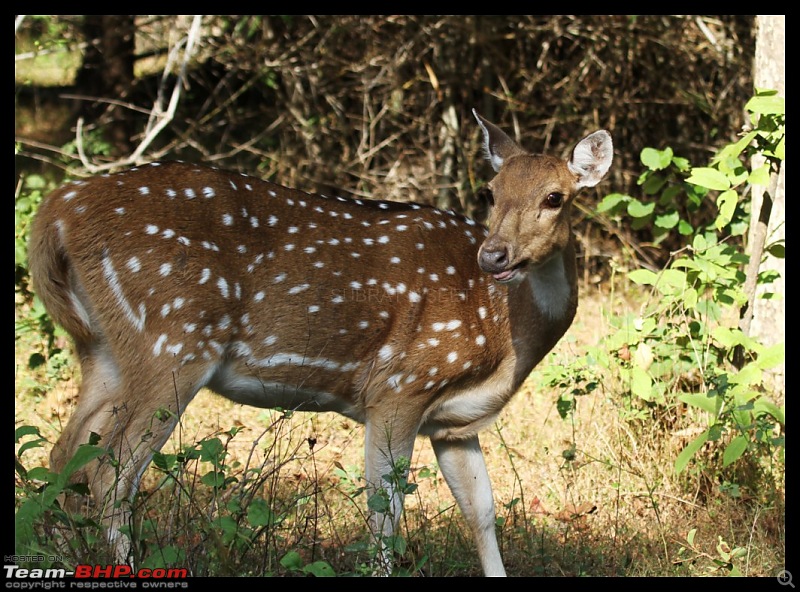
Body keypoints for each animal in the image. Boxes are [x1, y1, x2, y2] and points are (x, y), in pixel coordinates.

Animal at [26, 110, 612, 572]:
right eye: (490, 193)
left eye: (555, 197)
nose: (493, 255)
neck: (502, 335)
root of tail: (56, 212)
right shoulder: (401, 385)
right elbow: (385, 514)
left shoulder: (453, 423)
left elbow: (482, 512)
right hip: (172, 340)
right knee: (108, 473)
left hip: (104, 350)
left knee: (62, 456)